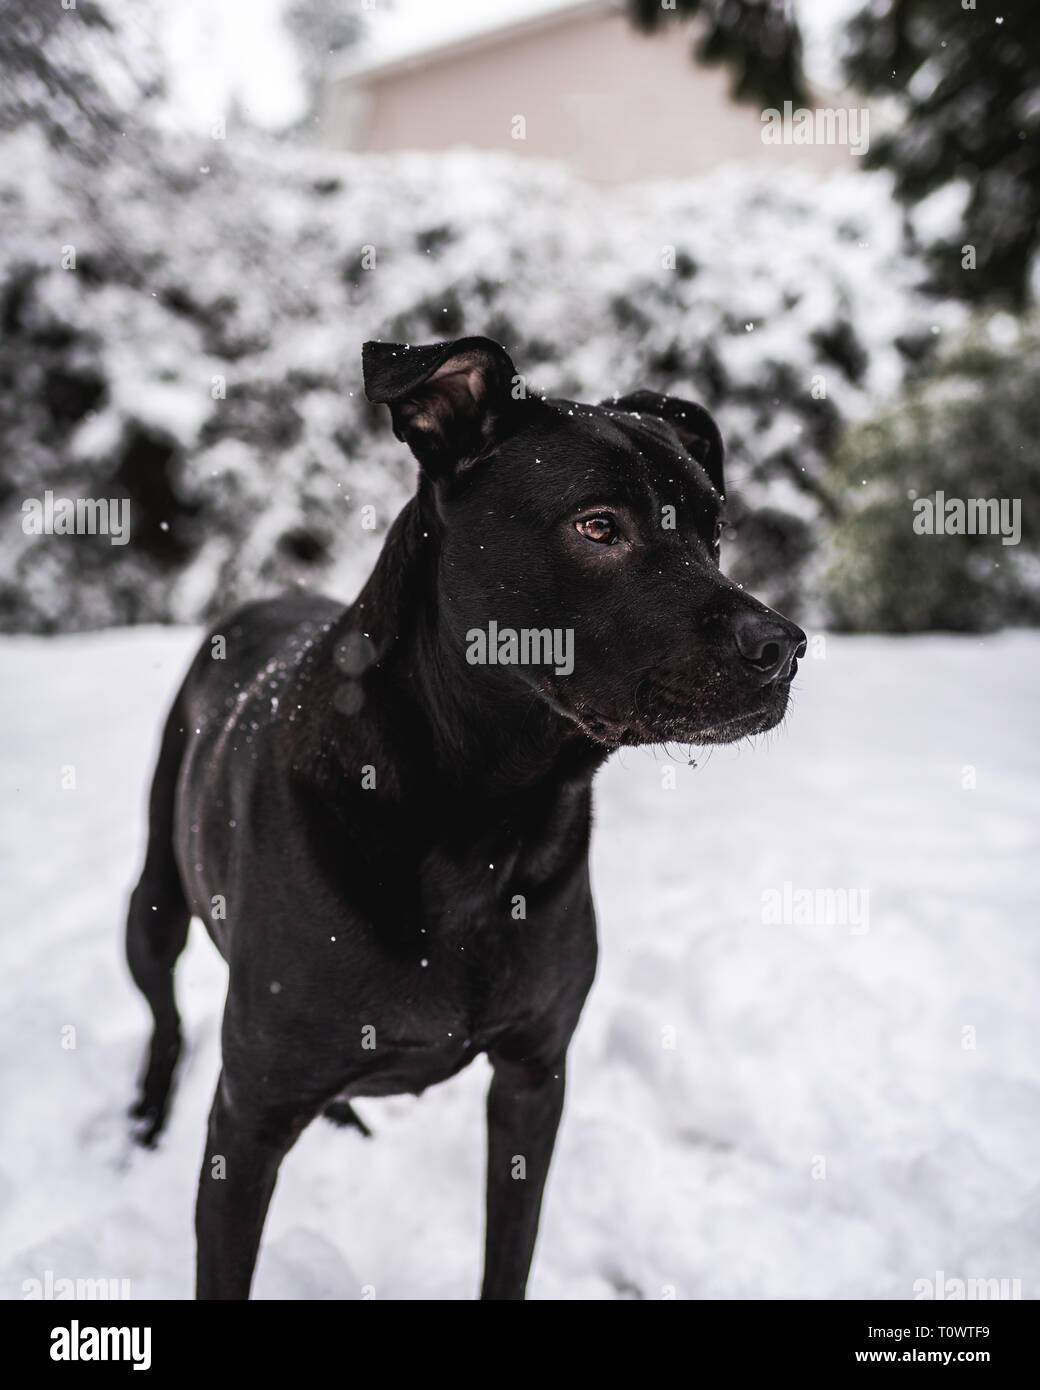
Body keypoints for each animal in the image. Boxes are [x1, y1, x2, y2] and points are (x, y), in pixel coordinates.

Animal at [123, 336, 806, 1301]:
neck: (485, 818)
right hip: (154, 903)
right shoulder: (247, 1120)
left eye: (714, 533)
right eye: (599, 527)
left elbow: (508, 1252)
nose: (783, 647)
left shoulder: (533, 1075)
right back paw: (144, 1119)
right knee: (166, 1018)